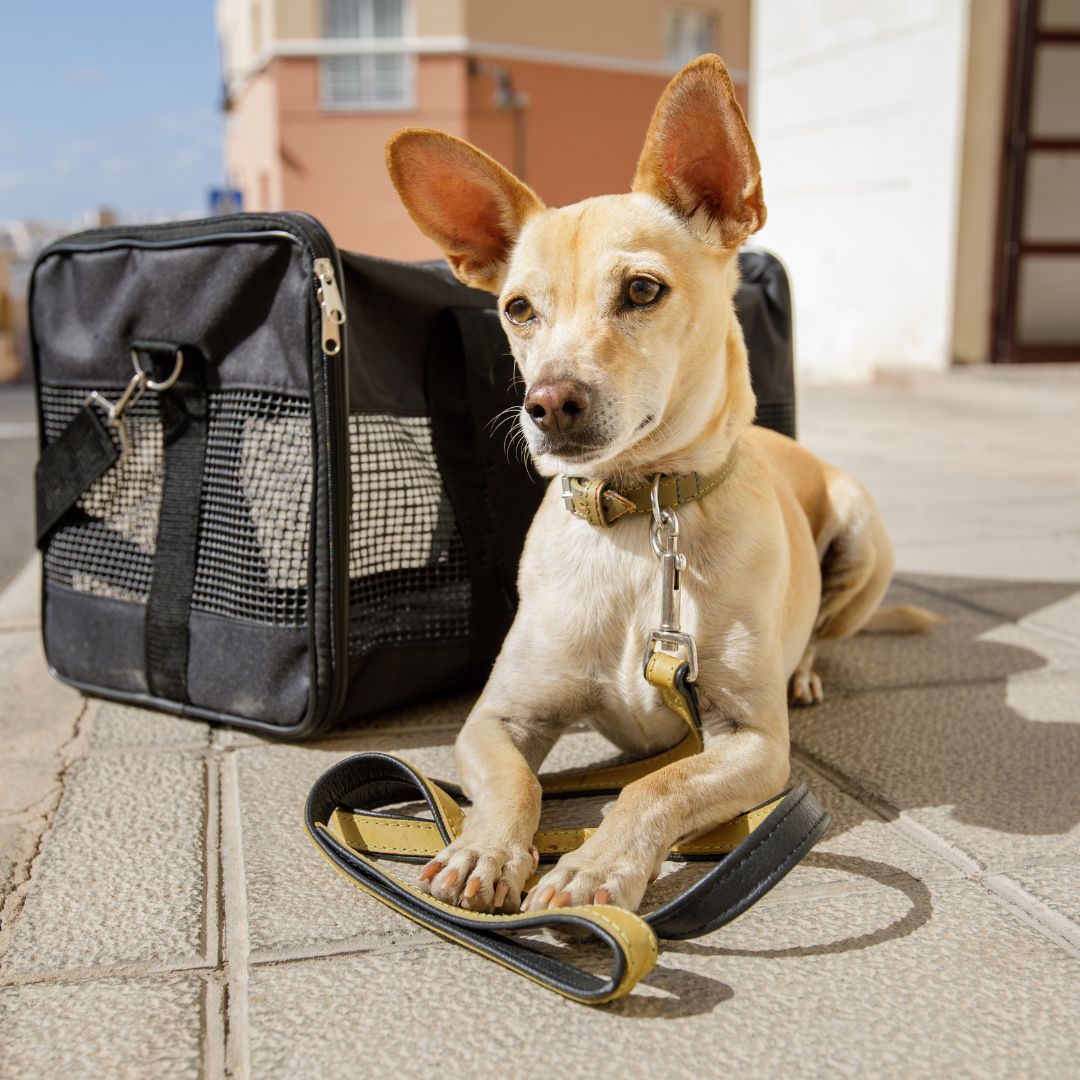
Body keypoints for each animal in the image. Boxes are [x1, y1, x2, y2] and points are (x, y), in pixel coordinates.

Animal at [382, 54, 937, 915]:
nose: (548, 403)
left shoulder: (753, 742)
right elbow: (513, 785)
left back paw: (805, 669)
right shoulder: (495, 720)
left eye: (642, 290)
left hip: (859, 534)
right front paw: (483, 848)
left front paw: (594, 867)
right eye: (518, 308)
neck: (640, 519)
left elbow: (655, 788)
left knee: (821, 630)